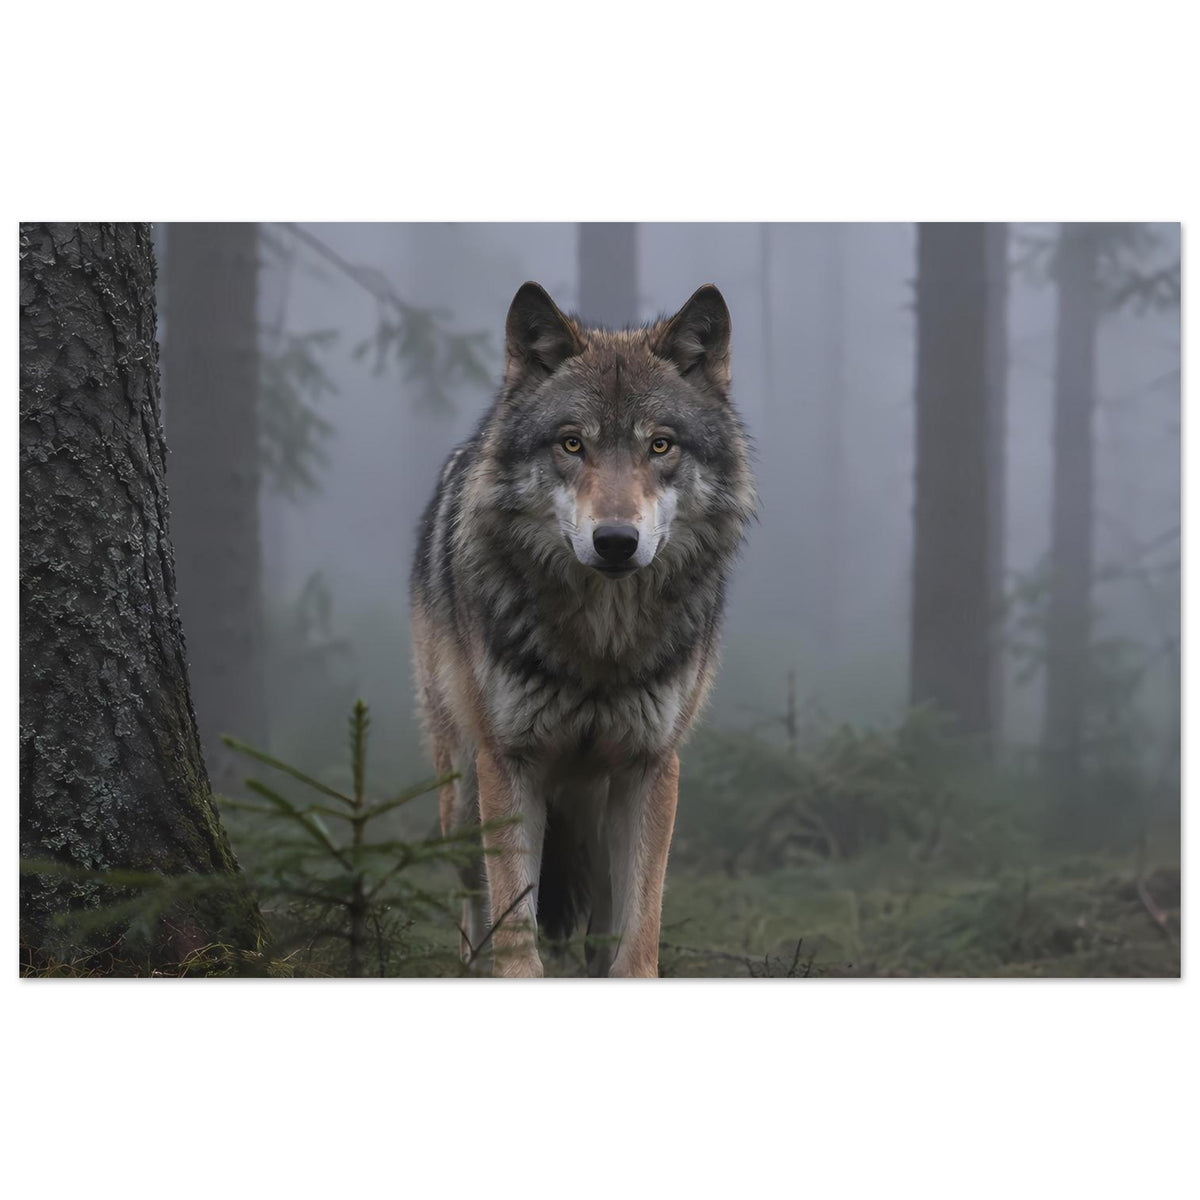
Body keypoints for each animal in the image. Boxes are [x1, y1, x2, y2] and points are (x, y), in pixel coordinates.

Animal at [410, 280, 755, 977]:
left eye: (660, 445)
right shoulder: (508, 763)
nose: (616, 541)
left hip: (593, 815)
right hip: (461, 790)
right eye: (573, 444)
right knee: (471, 907)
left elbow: (638, 935)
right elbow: (515, 929)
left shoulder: (651, 767)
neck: (602, 640)